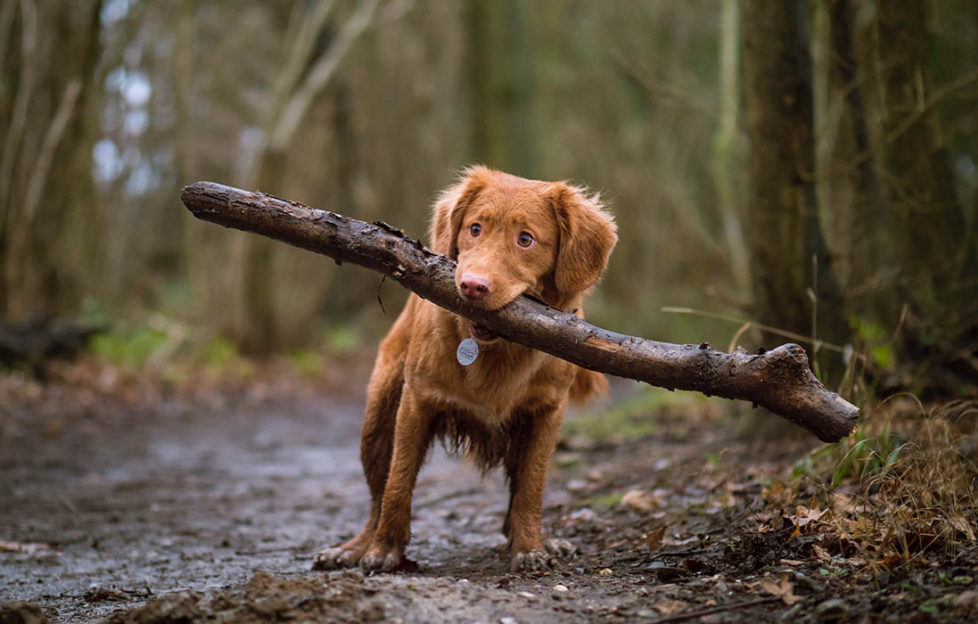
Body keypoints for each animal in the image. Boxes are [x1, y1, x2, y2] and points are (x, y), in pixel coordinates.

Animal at [316, 166, 612, 572]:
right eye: (475, 228)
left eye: (526, 240)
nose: (472, 286)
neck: (497, 351)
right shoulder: (416, 401)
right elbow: (398, 481)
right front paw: (385, 550)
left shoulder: (547, 412)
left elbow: (531, 485)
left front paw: (529, 547)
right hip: (378, 418)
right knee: (377, 493)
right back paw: (356, 547)